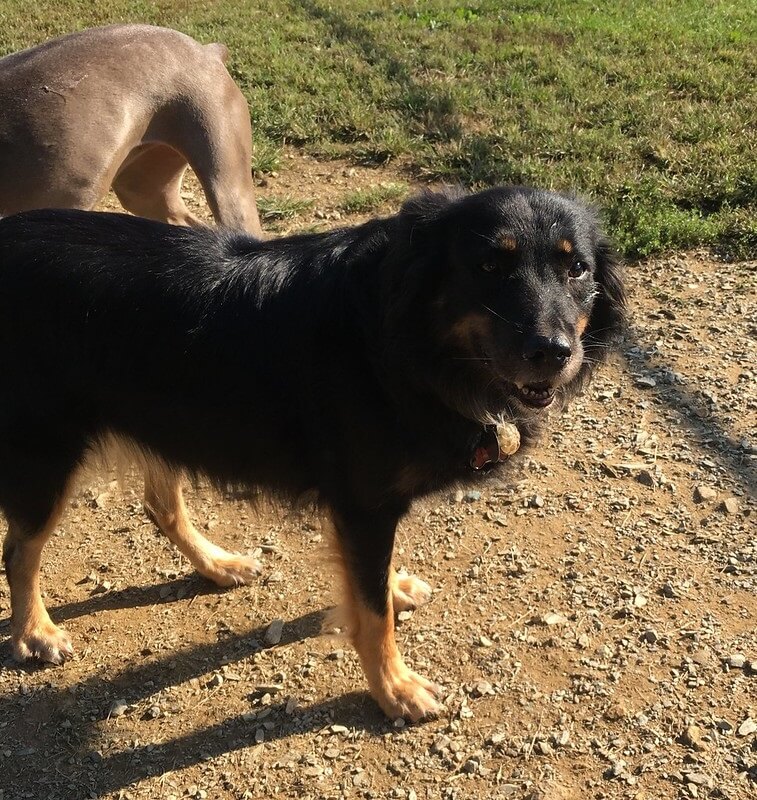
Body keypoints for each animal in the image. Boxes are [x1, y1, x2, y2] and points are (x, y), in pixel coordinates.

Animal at [0, 188, 624, 720]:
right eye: (490, 266)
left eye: (577, 270)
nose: (553, 352)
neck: (405, 341)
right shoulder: (364, 504)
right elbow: (370, 615)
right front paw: (394, 688)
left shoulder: (367, 510)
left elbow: (373, 581)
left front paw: (394, 587)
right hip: (44, 451)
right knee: (20, 549)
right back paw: (34, 633)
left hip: (164, 418)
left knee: (160, 506)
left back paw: (217, 563)